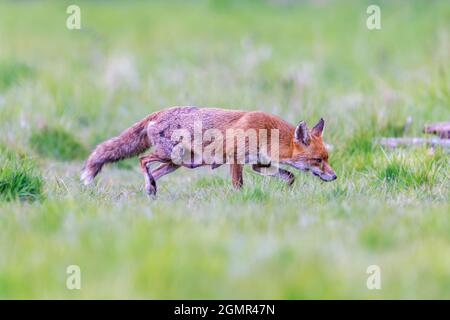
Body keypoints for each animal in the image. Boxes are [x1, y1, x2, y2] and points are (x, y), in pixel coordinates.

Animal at [81, 106, 336, 195]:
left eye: (326, 158)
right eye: (317, 160)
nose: (334, 176)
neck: (267, 133)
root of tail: (160, 111)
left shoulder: (257, 163)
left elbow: (290, 175)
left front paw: (288, 190)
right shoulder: (236, 159)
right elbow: (238, 185)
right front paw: (239, 201)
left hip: (178, 163)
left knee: (154, 172)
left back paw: (150, 189)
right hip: (170, 156)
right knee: (143, 160)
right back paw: (150, 187)